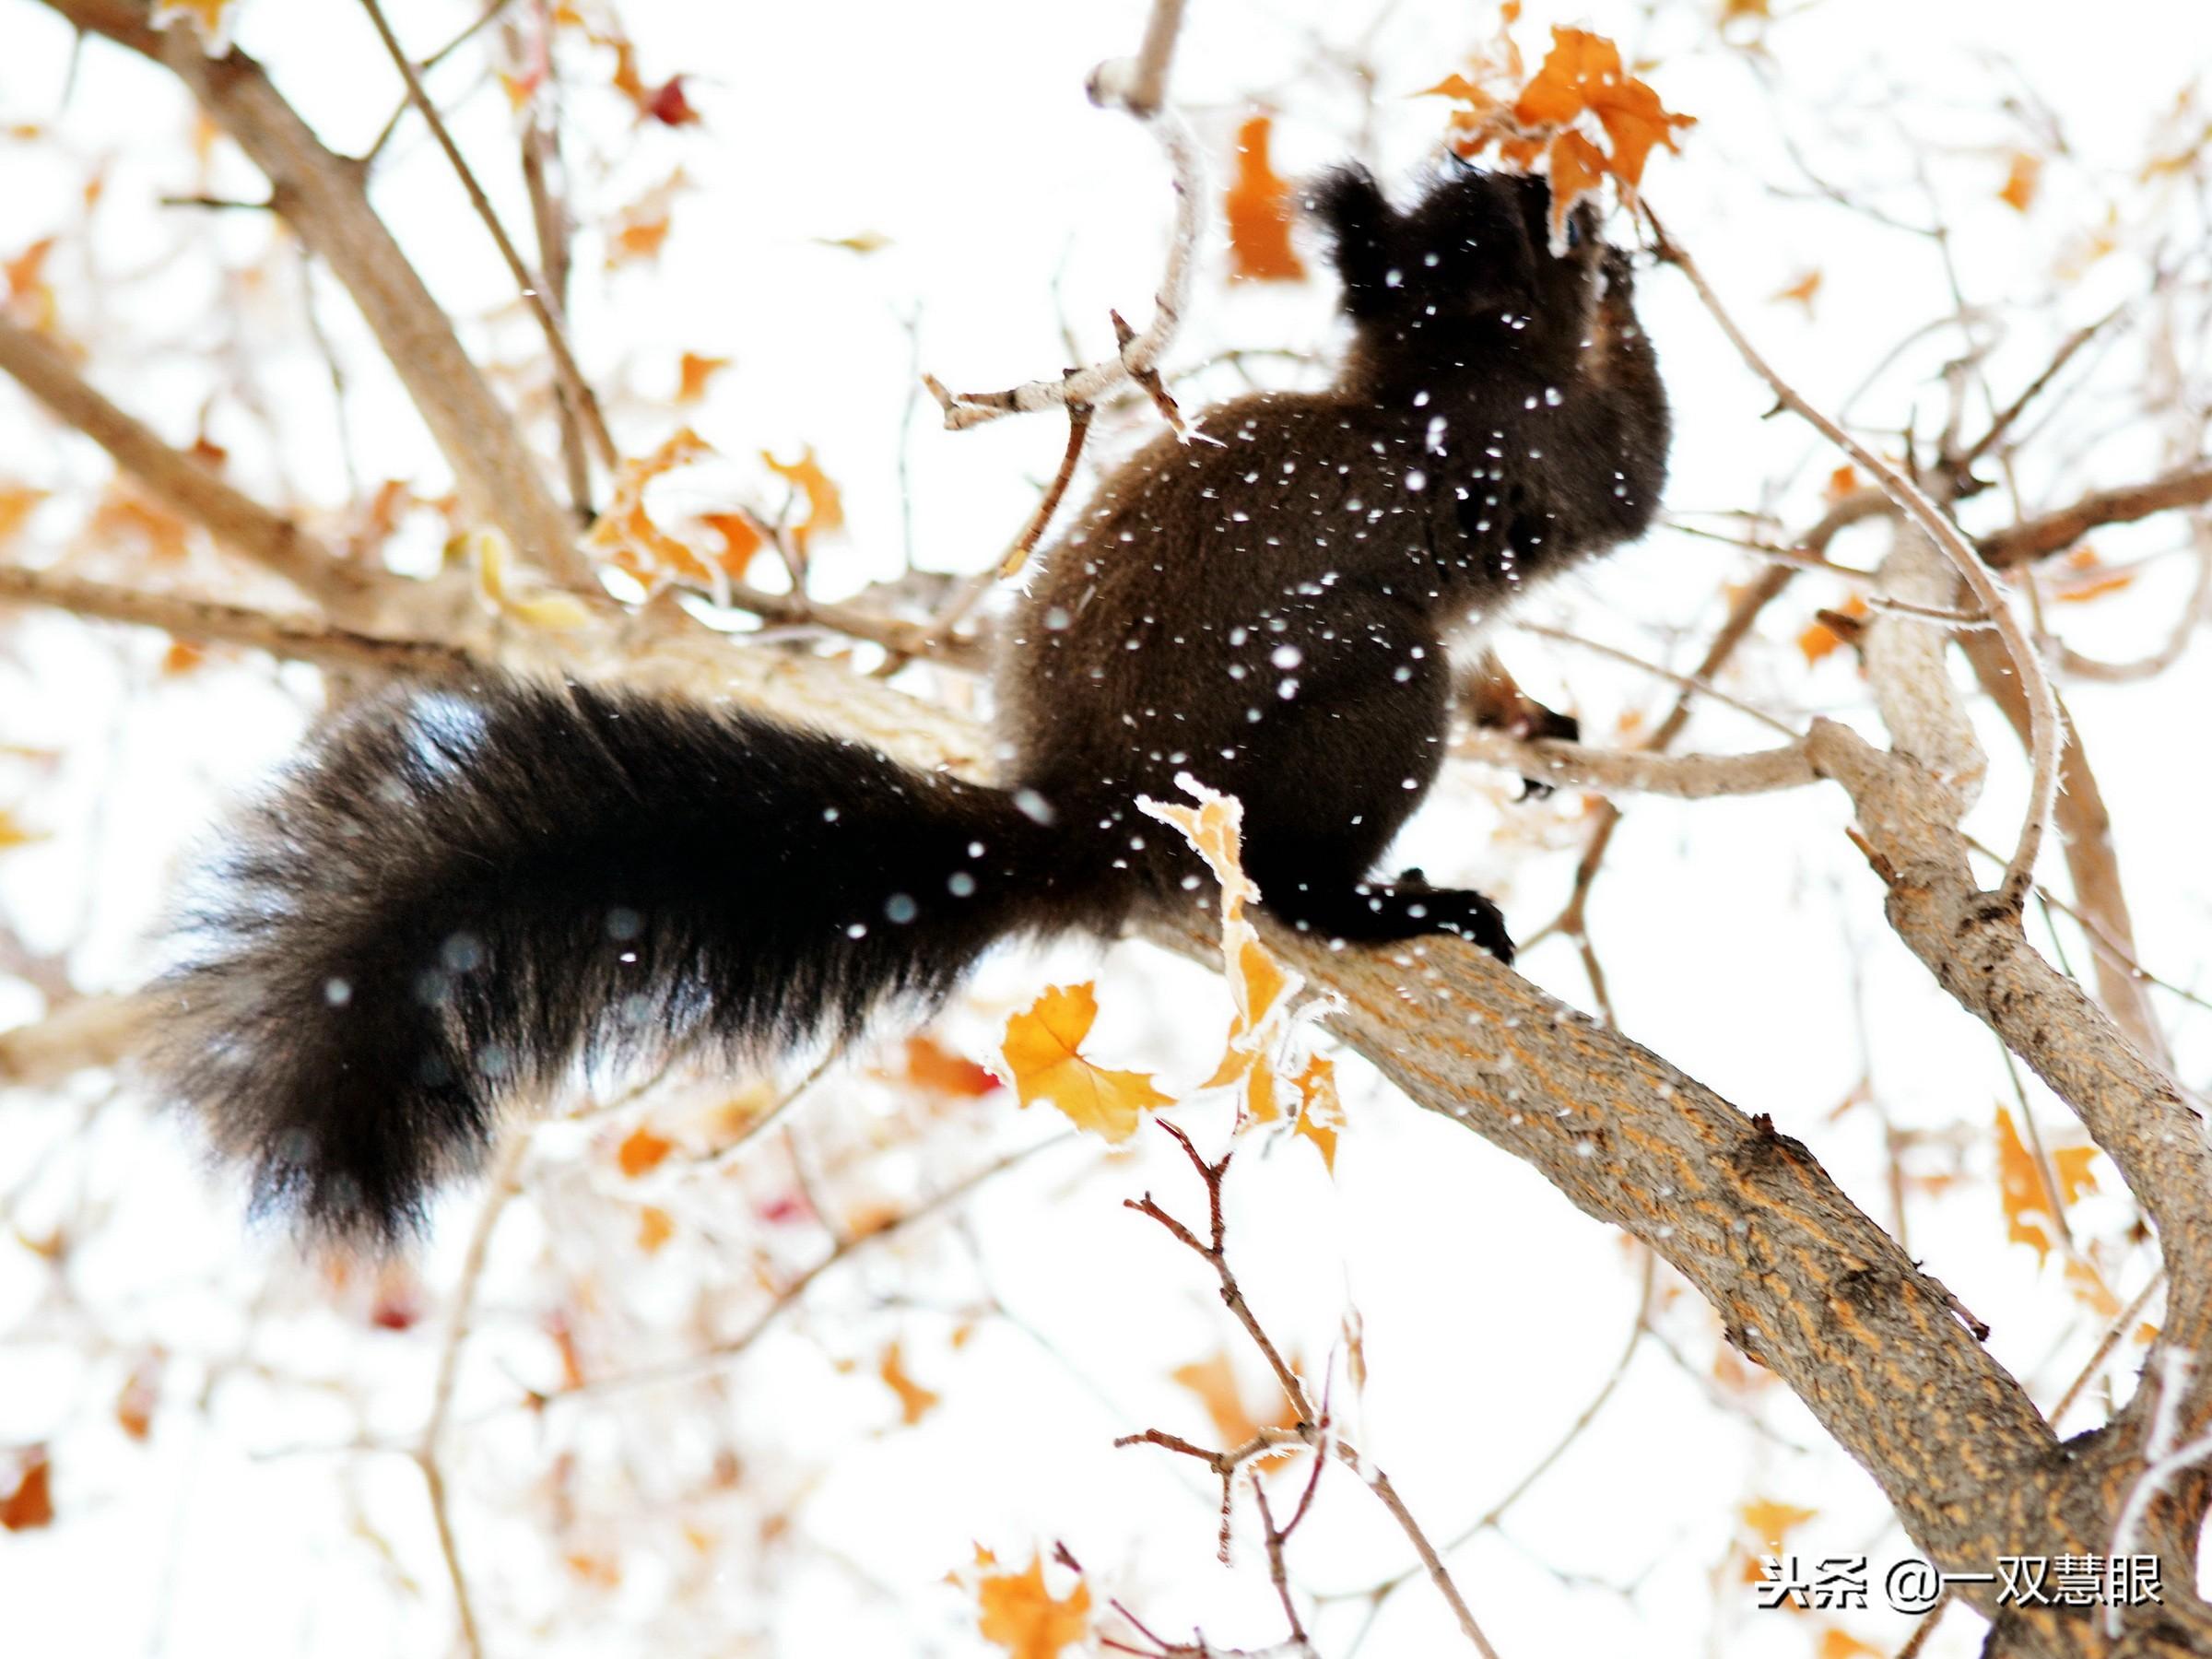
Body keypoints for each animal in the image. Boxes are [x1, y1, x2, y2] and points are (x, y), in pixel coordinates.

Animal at [156, 166, 1663, 1247]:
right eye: (1497, 214)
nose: (1554, 183)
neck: (1411, 386)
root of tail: (1090, 818)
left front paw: (1545, 729)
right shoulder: (1527, 451)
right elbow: (1630, 474)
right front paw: (1629, 272)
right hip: (1365, 702)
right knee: (1296, 871)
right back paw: (1385, 903)